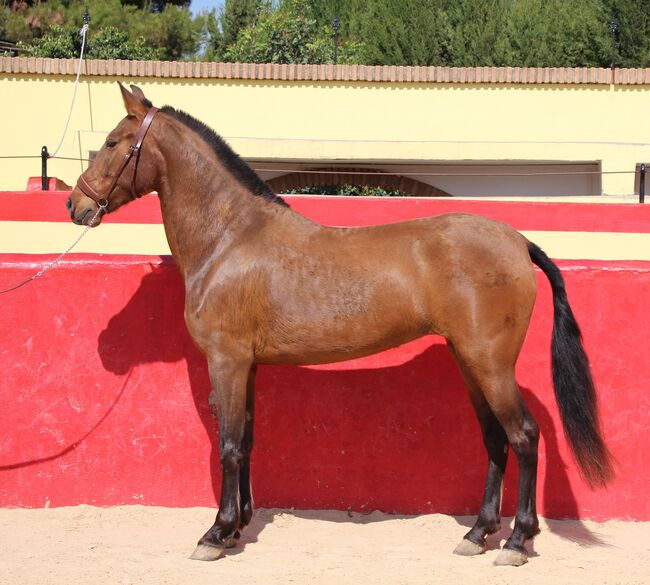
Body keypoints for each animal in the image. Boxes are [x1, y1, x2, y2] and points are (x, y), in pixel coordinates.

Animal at [67, 83, 612, 564]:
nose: (76, 205)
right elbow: (248, 441)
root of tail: (517, 240)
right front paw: (240, 525)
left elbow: (228, 446)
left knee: (524, 436)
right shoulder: (248, 366)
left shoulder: (226, 361)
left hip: (491, 364)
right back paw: (477, 534)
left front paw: (216, 534)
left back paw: (517, 542)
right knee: (496, 440)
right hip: (470, 362)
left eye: (112, 142)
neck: (230, 238)